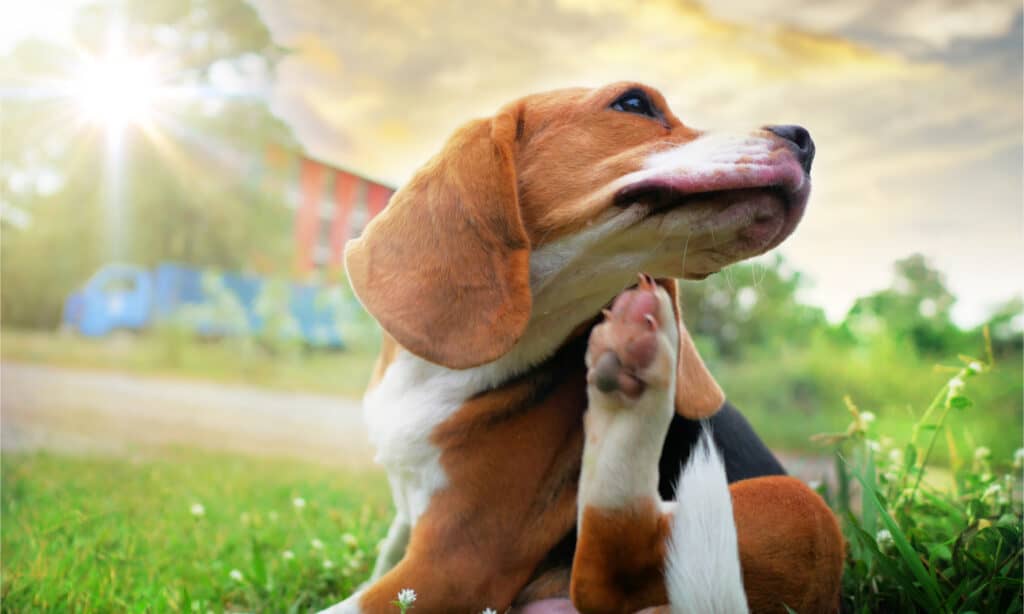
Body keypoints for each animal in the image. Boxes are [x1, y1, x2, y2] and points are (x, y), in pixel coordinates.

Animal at [323, 82, 843, 614]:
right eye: (633, 103)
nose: (804, 140)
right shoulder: (412, 529)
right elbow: (384, 556)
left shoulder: (455, 565)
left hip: (800, 505)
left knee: (610, 573)